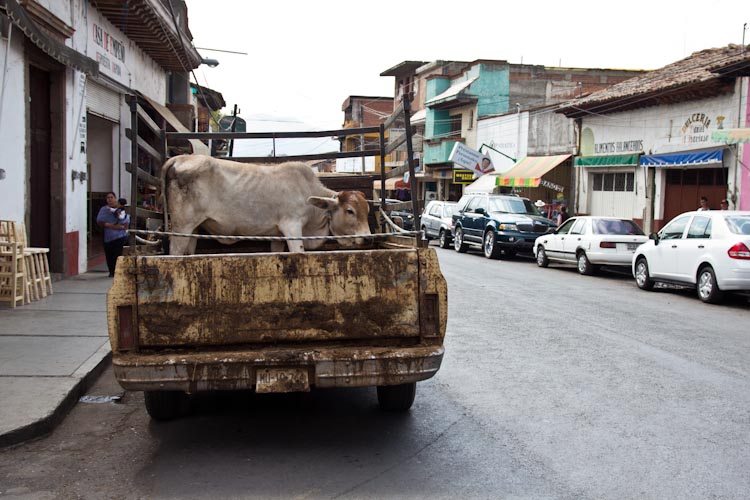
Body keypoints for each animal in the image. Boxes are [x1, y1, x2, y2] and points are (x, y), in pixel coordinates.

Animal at [162, 154, 374, 256]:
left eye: (367, 210)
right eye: (350, 211)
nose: (368, 238)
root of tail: (179, 158)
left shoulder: (277, 235)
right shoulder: (291, 226)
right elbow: (298, 252)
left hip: (194, 228)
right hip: (182, 225)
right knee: (175, 252)